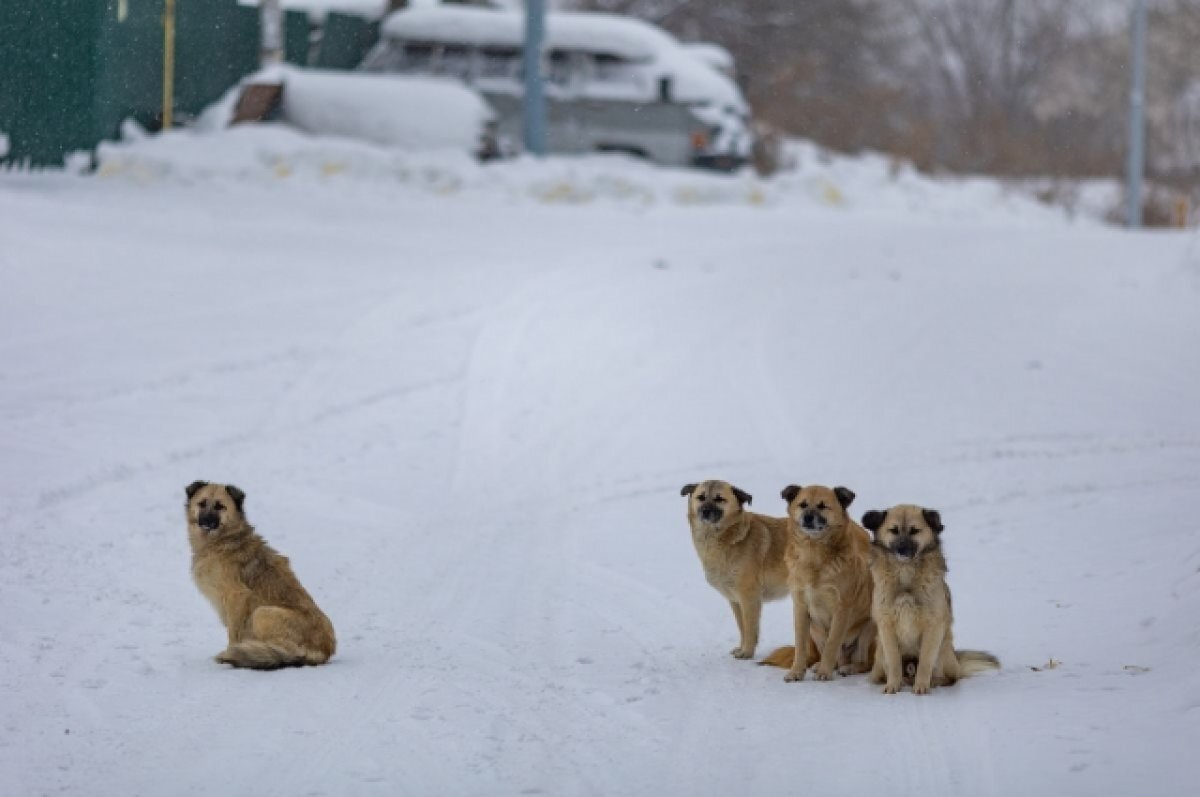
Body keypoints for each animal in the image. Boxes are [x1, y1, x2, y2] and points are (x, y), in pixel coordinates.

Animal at [187, 482, 338, 667]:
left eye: (220, 506)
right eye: (202, 503)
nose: (206, 521)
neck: (222, 541)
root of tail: (325, 651)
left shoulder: (237, 597)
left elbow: (234, 633)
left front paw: (231, 653)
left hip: (261, 613)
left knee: (286, 652)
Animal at [681, 480, 792, 657]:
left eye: (719, 499)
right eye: (701, 497)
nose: (705, 511)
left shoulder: (749, 597)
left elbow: (750, 628)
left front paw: (747, 652)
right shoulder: (735, 600)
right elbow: (742, 627)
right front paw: (741, 648)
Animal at [763, 482, 878, 681]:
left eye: (823, 506)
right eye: (802, 504)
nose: (808, 517)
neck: (813, 555)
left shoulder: (841, 607)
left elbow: (833, 643)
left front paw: (825, 672)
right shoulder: (801, 607)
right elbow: (800, 645)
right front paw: (796, 672)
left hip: (869, 628)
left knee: (863, 663)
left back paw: (847, 668)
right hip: (815, 629)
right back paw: (821, 665)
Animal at [864, 506, 1003, 696]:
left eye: (914, 531)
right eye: (893, 530)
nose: (901, 550)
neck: (905, 573)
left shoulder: (933, 626)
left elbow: (925, 662)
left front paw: (922, 686)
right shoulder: (887, 627)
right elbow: (894, 662)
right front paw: (893, 685)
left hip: (943, 650)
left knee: (951, 678)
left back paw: (934, 682)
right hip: (879, 657)